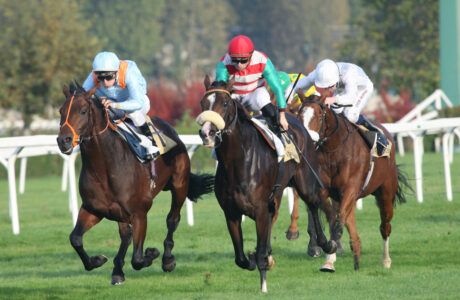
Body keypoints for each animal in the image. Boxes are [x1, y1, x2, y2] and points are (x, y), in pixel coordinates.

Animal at [57, 83, 214, 284]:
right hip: (119, 211)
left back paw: (167, 259)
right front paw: (98, 260)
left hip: (180, 184)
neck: (105, 167)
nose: (63, 140)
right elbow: (75, 238)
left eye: (83, 111)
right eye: (61, 111)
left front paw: (152, 253)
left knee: (172, 219)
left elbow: (138, 259)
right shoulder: (93, 209)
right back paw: (117, 270)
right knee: (126, 234)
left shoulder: (139, 213)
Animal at [196, 76, 336, 292]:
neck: (238, 162)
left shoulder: (260, 209)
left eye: (225, 103)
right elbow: (241, 258)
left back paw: (325, 244)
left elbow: (261, 250)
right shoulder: (231, 213)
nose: (207, 132)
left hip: (304, 180)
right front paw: (255, 259)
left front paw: (263, 285)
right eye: (203, 103)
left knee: (313, 204)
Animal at [294, 93, 410, 272]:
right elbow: (333, 219)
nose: (307, 142)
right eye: (299, 116)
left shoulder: (350, 188)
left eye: (320, 116)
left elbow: (338, 222)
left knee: (385, 226)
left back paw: (385, 260)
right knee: (349, 219)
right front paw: (329, 258)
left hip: (385, 193)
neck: (334, 150)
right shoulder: (325, 191)